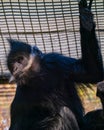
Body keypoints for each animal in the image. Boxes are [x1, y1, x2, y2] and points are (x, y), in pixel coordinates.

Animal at [7, 0, 103, 129]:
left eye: (20, 59)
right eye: (12, 65)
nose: (16, 68)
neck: (39, 78)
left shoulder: (55, 62)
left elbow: (92, 72)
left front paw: (86, 21)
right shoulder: (21, 95)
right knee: (64, 113)